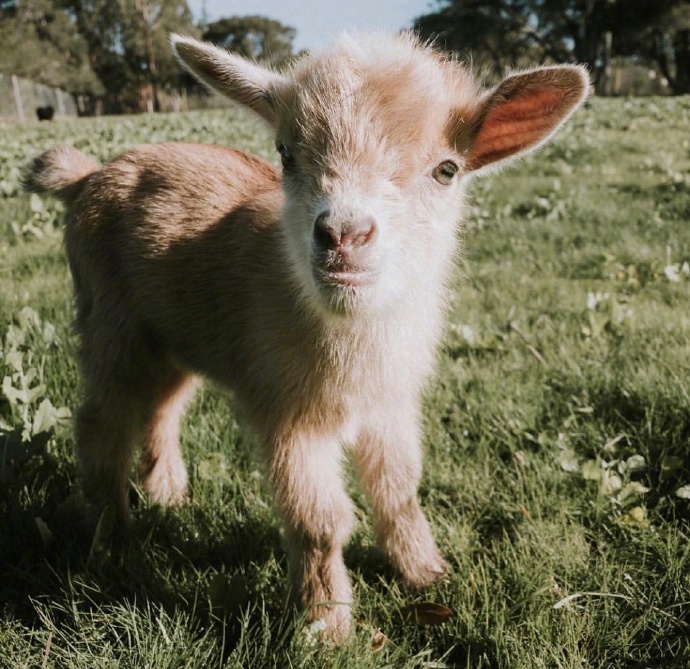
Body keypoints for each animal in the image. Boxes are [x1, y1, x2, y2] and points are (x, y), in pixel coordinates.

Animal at [25, 32, 584, 640]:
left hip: (174, 336)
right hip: (110, 321)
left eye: (447, 169)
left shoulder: (390, 402)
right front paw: (326, 625)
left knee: (163, 408)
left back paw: (168, 495)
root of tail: (88, 174)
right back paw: (110, 536)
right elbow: (319, 520)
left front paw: (426, 571)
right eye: (286, 154)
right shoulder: (289, 410)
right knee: (102, 418)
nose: (343, 234)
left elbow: (399, 487)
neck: (351, 343)